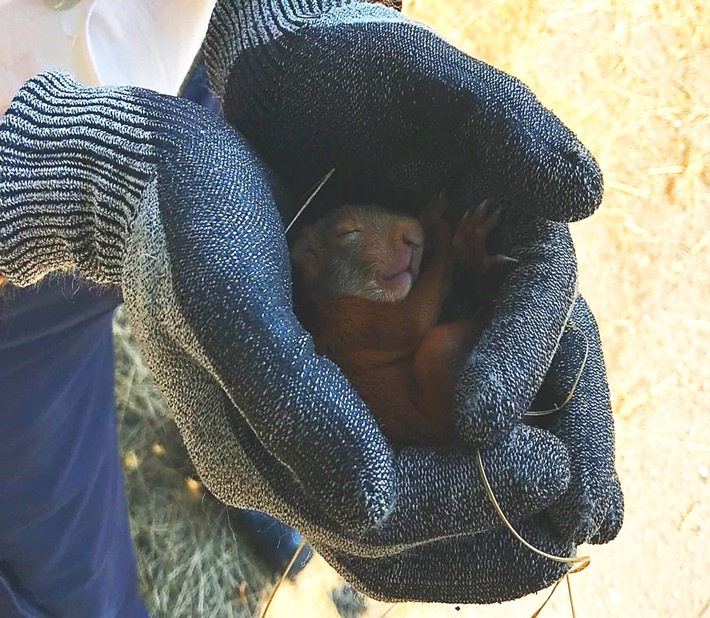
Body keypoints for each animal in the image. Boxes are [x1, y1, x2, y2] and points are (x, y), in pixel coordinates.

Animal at [292, 192, 516, 442]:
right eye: (347, 232)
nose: (414, 235)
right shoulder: (349, 323)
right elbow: (412, 321)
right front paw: (437, 226)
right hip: (436, 356)